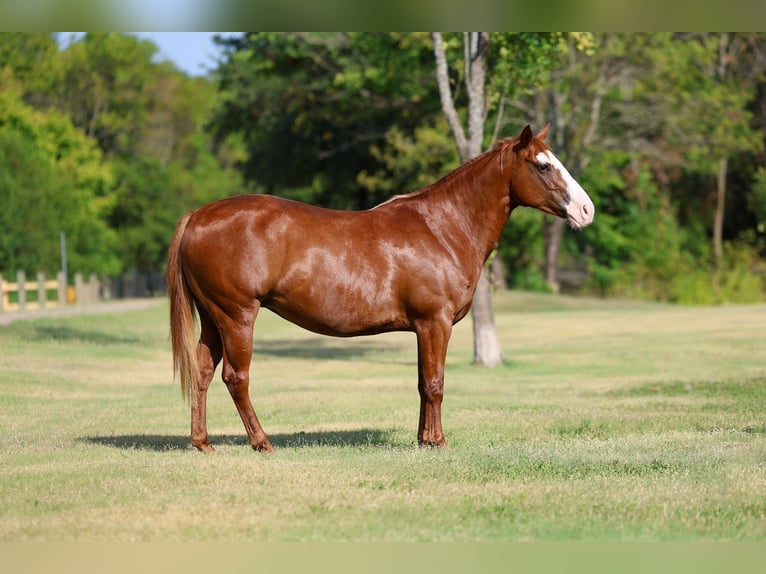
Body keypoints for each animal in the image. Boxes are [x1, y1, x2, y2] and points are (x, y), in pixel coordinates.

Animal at [167, 124, 594, 453]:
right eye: (543, 165)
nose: (586, 210)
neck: (442, 227)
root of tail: (197, 216)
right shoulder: (435, 321)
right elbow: (435, 383)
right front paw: (438, 442)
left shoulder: (424, 327)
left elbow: (423, 382)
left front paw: (423, 439)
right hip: (237, 315)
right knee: (236, 378)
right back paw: (262, 442)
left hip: (213, 318)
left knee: (203, 373)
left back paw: (203, 443)